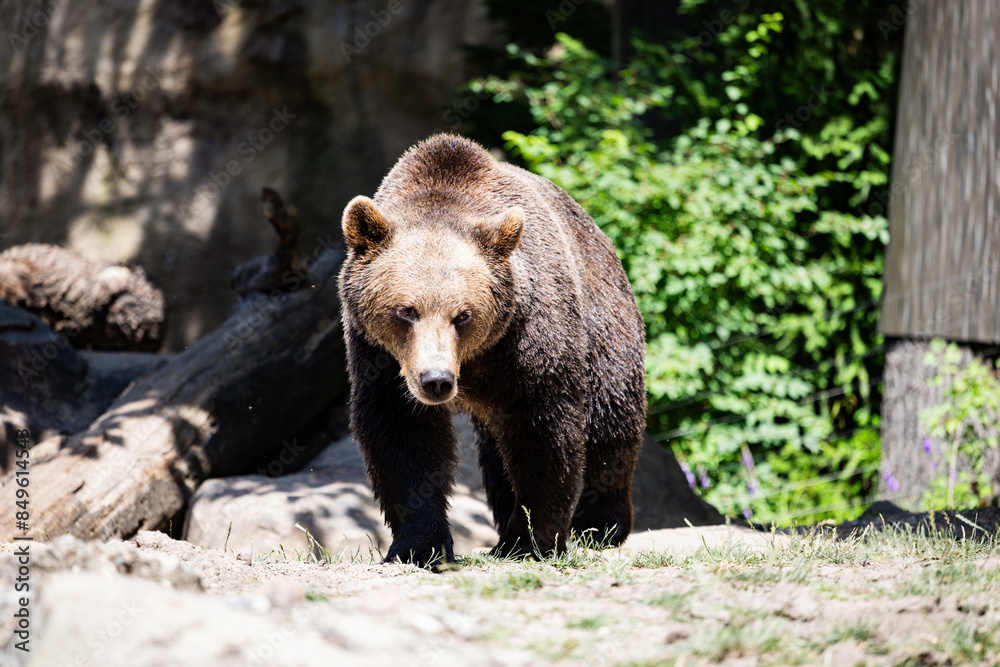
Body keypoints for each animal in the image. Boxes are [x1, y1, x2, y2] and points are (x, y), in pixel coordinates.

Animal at [338, 134, 646, 564]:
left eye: (463, 314)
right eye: (406, 310)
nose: (436, 380)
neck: (476, 359)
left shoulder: (527, 340)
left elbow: (543, 430)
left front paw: (532, 540)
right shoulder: (378, 355)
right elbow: (403, 437)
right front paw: (418, 545)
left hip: (604, 321)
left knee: (610, 420)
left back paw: (600, 525)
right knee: (496, 453)